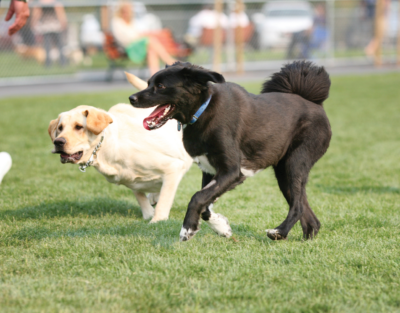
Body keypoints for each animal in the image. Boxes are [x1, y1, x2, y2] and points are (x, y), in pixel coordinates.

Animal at [128, 61, 332, 241]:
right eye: (149, 83)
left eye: (160, 86)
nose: (131, 98)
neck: (203, 110)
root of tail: (314, 103)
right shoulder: (210, 170)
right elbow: (205, 205)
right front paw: (221, 227)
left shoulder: (232, 170)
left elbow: (197, 197)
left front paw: (187, 229)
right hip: (284, 173)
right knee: (309, 216)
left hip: (295, 163)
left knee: (297, 206)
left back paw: (279, 232)